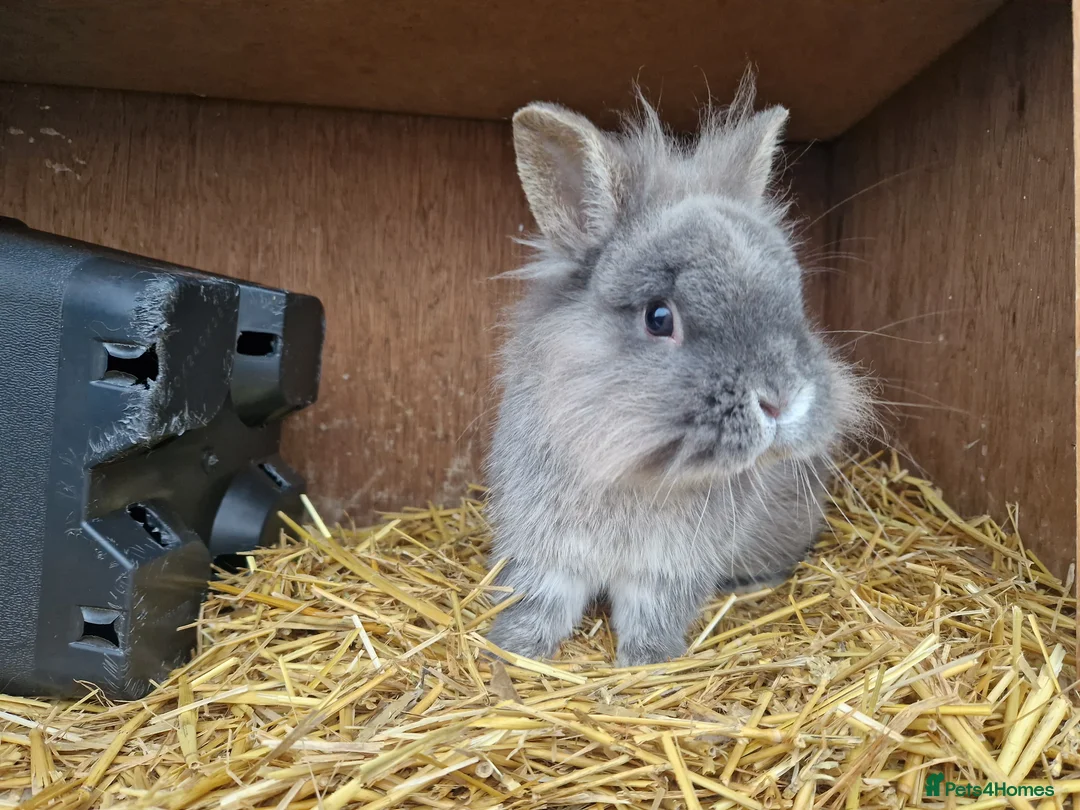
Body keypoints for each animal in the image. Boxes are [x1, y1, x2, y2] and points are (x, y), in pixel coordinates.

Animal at [484, 76, 870, 667]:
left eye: (795, 302)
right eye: (659, 317)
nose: (781, 400)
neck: (632, 467)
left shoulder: (667, 574)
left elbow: (652, 618)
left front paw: (646, 663)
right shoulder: (544, 553)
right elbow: (537, 603)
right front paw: (511, 651)